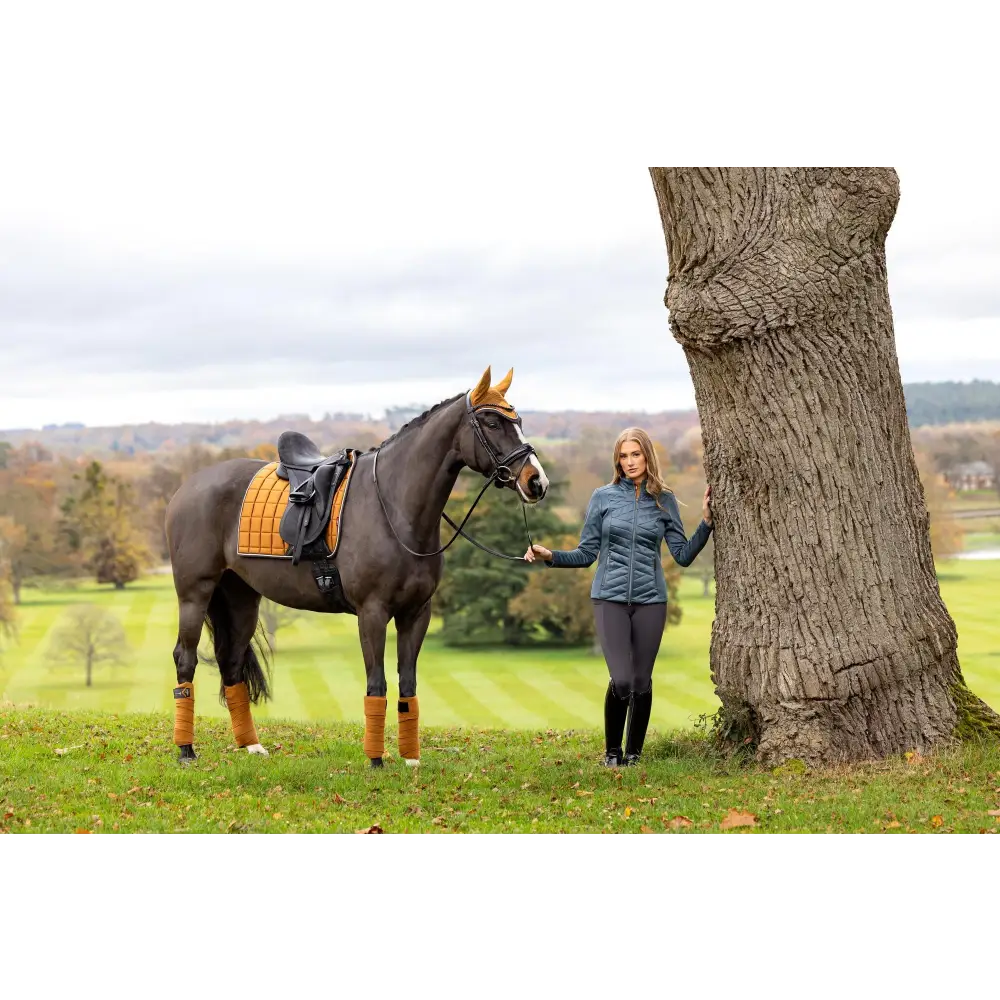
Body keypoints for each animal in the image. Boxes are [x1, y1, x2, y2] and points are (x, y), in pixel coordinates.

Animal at [167, 368, 552, 764]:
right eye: (491, 422)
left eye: (519, 421)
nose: (536, 481)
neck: (395, 508)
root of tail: (190, 486)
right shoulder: (372, 612)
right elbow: (377, 684)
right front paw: (377, 760)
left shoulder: (417, 612)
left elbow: (407, 684)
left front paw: (411, 759)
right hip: (196, 593)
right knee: (185, 659)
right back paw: (186, 749)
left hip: (242, 598)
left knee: (230, 662)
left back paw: (250, 745)